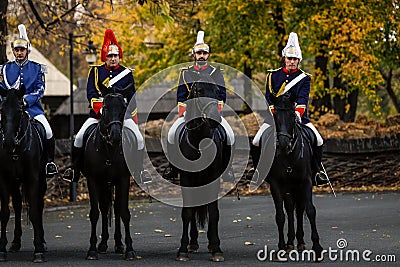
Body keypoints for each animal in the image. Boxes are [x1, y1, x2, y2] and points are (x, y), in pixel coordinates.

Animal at [0, 87, 47, 262]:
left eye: (19, 110)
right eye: (1, 110)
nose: (8, 143)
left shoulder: (33, 179)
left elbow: (34, 212)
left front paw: (38, 250)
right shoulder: (4, 179)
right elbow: (5, 213)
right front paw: (2, 250)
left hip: (42, 181)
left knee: (39, 206)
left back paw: (42, 241)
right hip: (14, 182)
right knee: (18, 205)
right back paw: (15, 242)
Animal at [81, 87, 136, 262]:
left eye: (124, 108)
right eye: (104, 108)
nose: (116, 136)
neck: (109, 151)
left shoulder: (123, 180)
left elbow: (124, 212)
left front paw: (129, 249)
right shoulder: (93, 180)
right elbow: (94, 213)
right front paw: (92, 249)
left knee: (116, 209)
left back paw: (118, 244)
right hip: (104, 184)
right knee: (105, 209)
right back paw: (103, 243)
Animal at [174, 70, 228, 262]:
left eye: (217, 90)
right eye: (198, 90)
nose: (214, 119)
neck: (198, 142)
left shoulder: (213, 178)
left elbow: (214, 212)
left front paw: (217, 249)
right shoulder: (187, 179)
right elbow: (187, 213)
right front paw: (183, 249)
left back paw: (211, 244)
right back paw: (193, 243)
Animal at [266, 94, 324, 262]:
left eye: (292, 115)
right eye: (275, 116)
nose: (284, 143)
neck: (288, 155)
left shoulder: (306, 182)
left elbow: (310, 211)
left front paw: (317, 248)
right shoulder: (276, 185)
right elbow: (280, 216)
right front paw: (281, 247)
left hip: (297, 187)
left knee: (298, 210)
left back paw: (300, 242)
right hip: (289, 188)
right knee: (291, 210)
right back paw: (291, 243)